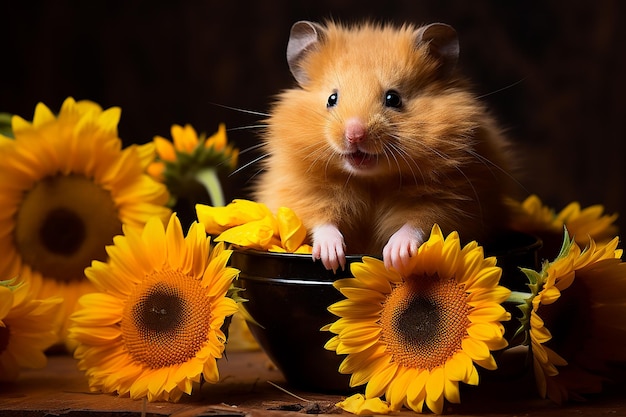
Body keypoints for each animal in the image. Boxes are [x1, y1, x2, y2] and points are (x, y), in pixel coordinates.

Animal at [251, 20, 516, 272]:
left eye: (393, 98)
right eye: (331, 99)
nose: (354, 135)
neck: (371, 179)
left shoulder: (451, 199)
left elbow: (418, 222)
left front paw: (394, 258)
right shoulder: (302, 192)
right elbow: (320, 219)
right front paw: (332, 259)